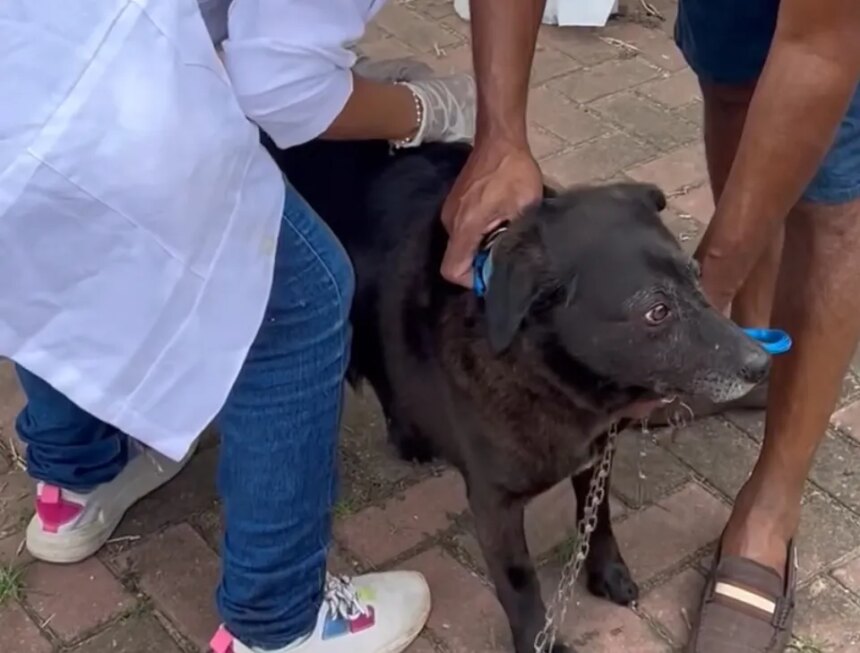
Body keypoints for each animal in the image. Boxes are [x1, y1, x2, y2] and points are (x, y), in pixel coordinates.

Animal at [267, 137, 770, 653]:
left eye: (696, 276)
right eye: (657, 311)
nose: (762, 363)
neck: (547, 375)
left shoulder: (598, 456)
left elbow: (599, 518)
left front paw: (607, 572)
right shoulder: (495, 505)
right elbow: (519, 582)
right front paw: (538, 640)